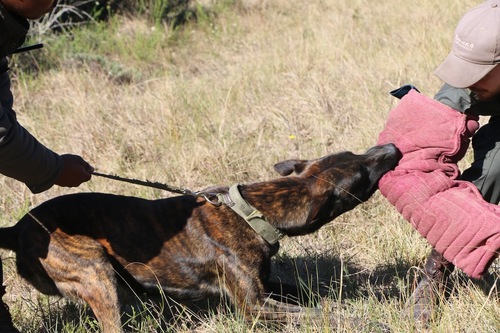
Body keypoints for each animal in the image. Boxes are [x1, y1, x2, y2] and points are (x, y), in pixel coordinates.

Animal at [0, 142, 398, 330]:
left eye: (355, 152)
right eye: (362, 176)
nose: (391, 149)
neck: (254, 210)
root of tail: (17, 229)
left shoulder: (266, 285)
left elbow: (309, 293)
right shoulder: (254, 306)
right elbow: (320, 314)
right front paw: (365, 321)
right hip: (96, 271)